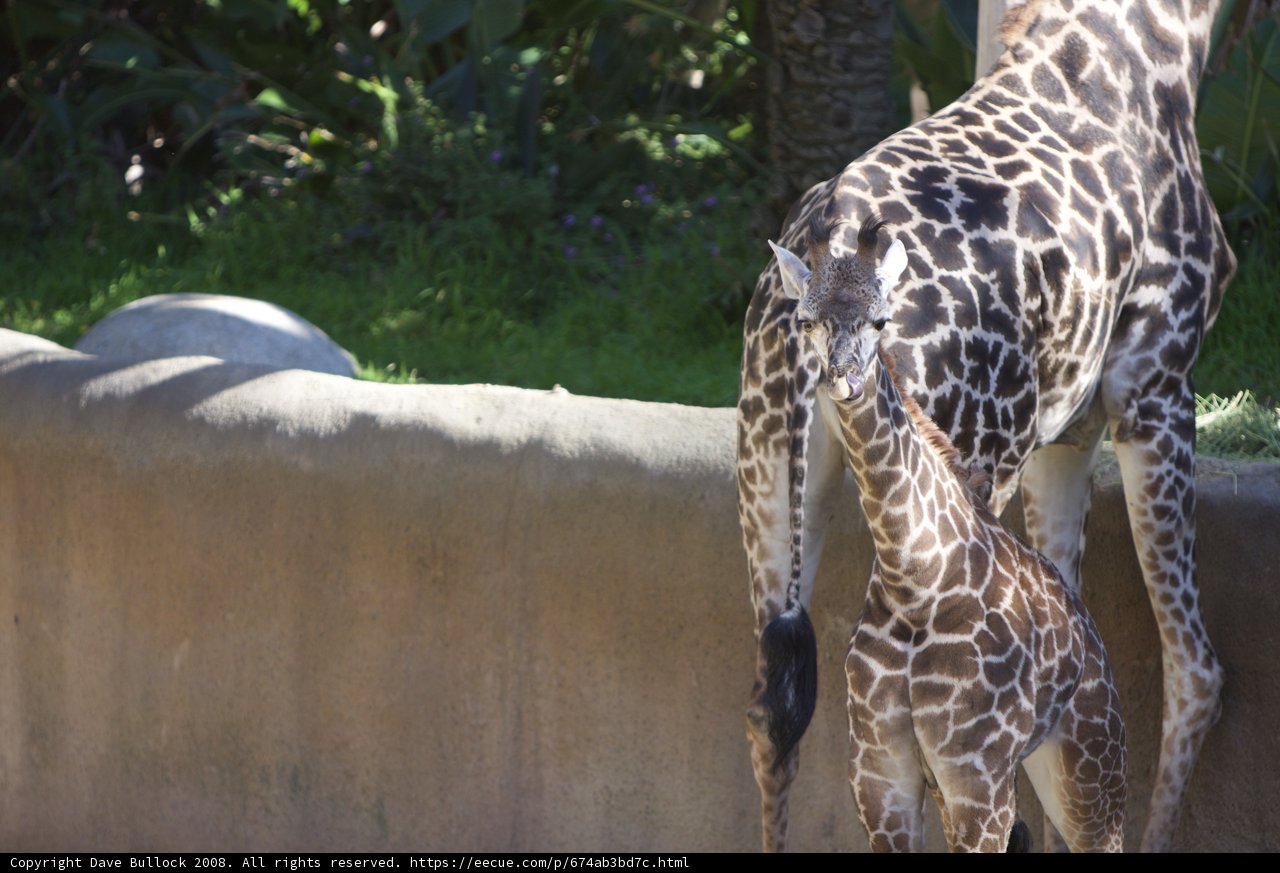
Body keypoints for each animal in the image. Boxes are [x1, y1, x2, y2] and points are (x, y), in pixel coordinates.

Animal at [769, 216, 1127, 852]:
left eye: (881, 319)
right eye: (806, 318)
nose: (843, 380)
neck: (917, 583)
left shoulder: (977, 780)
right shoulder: (880, 775)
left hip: (1091, 766)